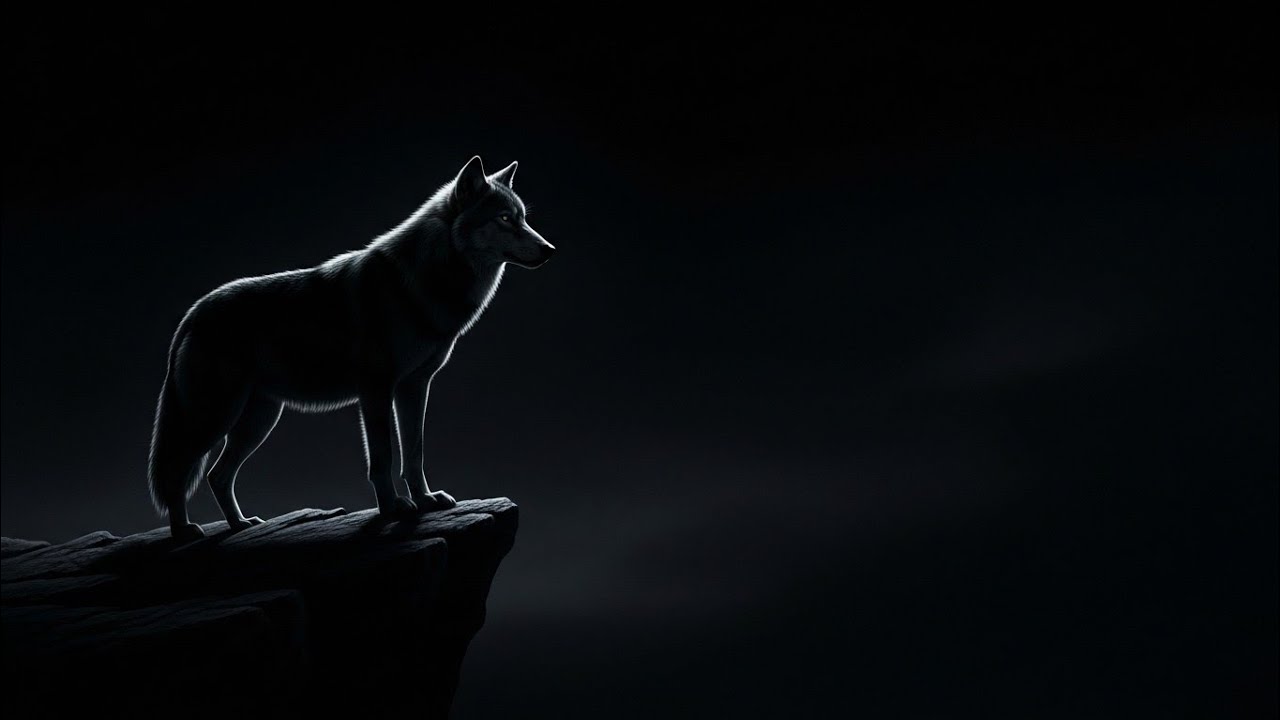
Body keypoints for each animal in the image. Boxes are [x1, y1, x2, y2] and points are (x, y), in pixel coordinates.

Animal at [147, 156, 554, 541]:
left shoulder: (414, 388)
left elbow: (414, 453)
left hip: (258, 421)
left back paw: (240, 525)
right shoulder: (376, 390)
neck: (424, 282)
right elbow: (383, 456)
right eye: (505, 218)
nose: (549, 250)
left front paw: (425, 500)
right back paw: (184, 532)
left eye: (523, 218)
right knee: (177, 472)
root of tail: (193, 312)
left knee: (217, 475)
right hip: (215, 417)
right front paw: (392, 509)